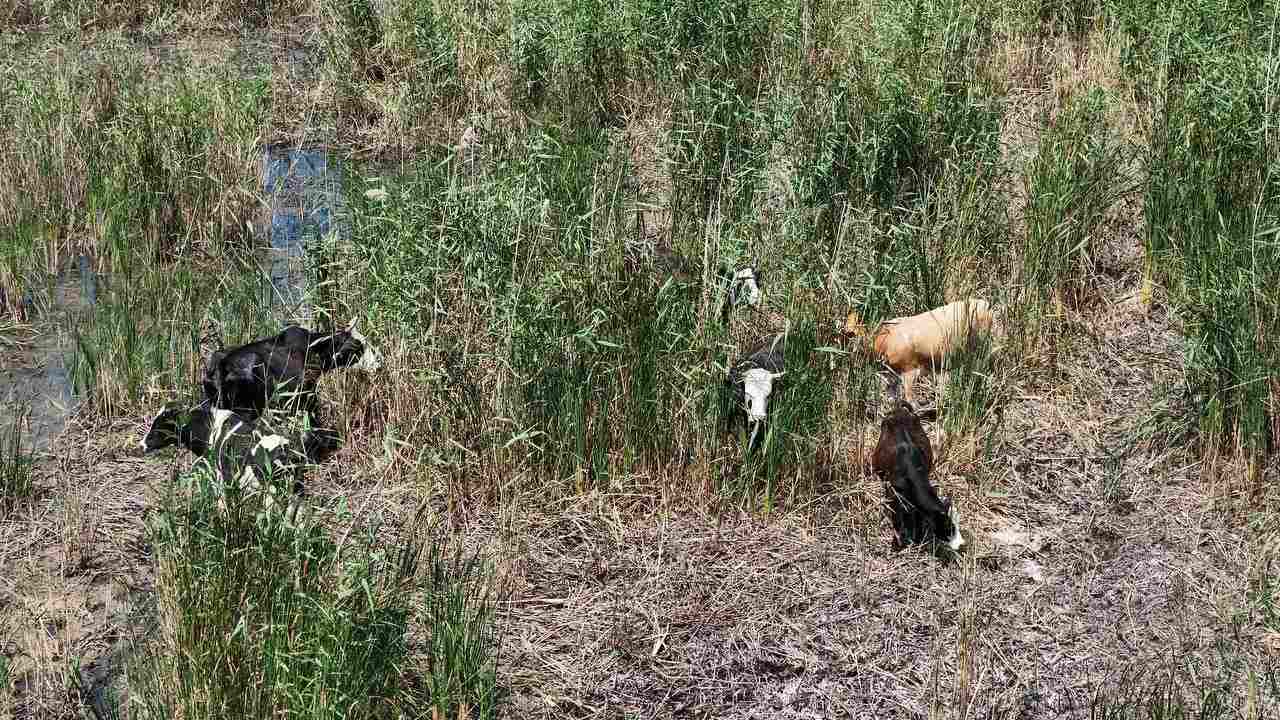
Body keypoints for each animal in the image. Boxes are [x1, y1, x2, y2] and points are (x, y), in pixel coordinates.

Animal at [865, 397, 962, 548]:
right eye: (948, 528)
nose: (959, 545)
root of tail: (899, 410)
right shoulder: (893, 495)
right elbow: (897, 517)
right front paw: (898, 542)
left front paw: (917, 537)